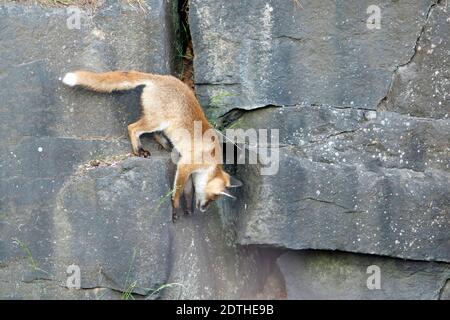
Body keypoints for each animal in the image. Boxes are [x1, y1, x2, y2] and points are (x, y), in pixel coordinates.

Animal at [62, 70, 243, 221]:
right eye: (212, 198)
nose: (203, 209)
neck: (210, 161)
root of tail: (160, 77)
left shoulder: (186, 167)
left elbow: (188, 190)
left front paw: (188, 208)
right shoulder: (185, 165)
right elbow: (177, 191)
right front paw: (175, 208)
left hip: (161, 123)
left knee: (154, 134)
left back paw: (165, 145)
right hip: (156, 121)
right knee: (133, 128)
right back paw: (138, 150)